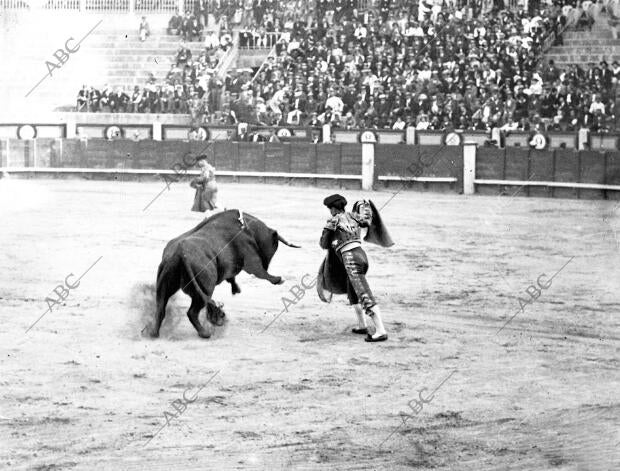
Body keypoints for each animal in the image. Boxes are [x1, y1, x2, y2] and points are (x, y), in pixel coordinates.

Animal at [153, 211, 302, 340]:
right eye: (274, 245)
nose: (267, 264)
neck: (248, 228)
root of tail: (181, 251)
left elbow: (232, 278)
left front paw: (236, 289)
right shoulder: (251, 260)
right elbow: (260, 272)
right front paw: (278, 279)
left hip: (165, 284)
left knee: (160, 308)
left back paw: (153, 333)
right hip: (205, 289)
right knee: (192, 312)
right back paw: (205, 333)